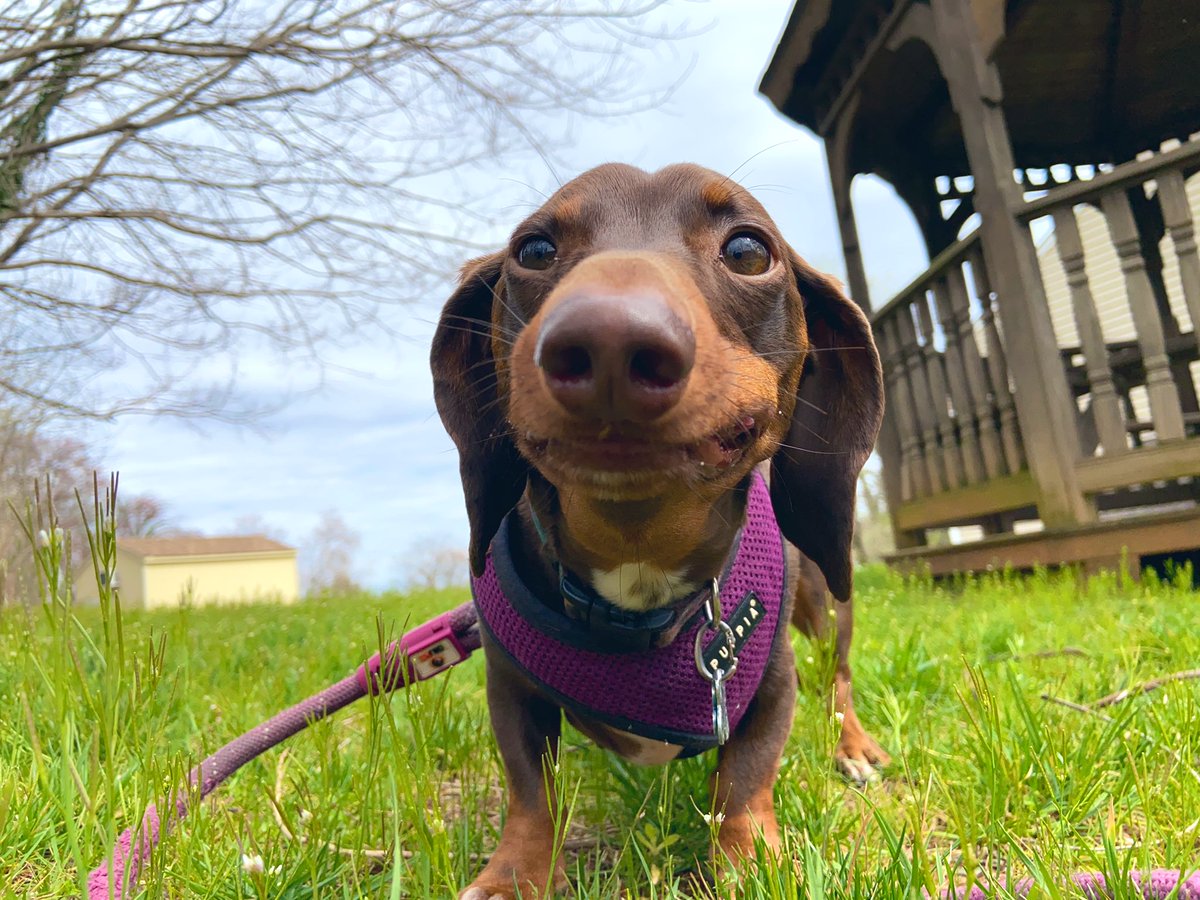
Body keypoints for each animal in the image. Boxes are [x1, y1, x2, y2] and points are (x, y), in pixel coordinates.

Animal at [432, 165, 892, 897]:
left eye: (748, 251)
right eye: (534, 250)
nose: (609, 341)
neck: (639, 560)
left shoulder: (774, 684)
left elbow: (745, 779)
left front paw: (749, 865)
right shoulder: (510, 688)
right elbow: (532, 792)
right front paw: (513, 875)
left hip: (827, 607)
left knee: (838, 681)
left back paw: (853, 748)